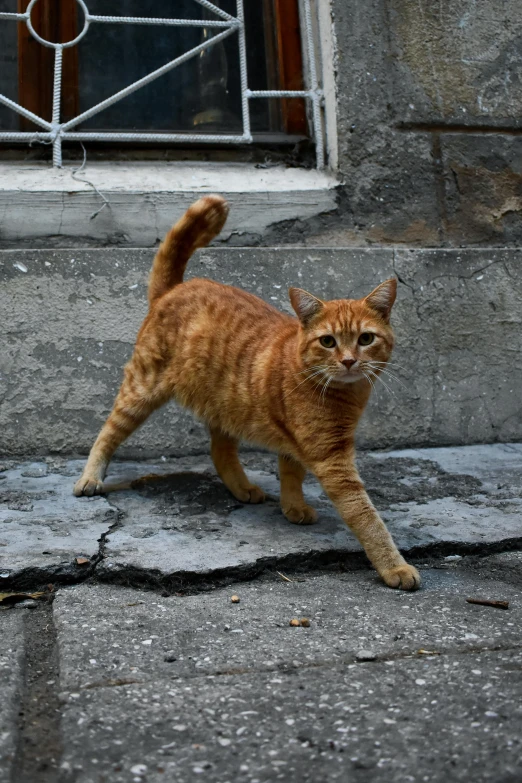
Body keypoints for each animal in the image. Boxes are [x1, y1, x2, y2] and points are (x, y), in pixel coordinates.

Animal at [75, 194, 418, 588]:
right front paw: (394, 566)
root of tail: (174, 288)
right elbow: (366, 517)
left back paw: (241, 487)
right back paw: (90, 478)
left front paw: (293, 506)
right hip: (141, 390)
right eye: (328, 342)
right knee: (108, 432)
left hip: (227, 405)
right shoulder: (332, 457)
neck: (343, 393)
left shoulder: (296, 440)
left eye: (365, 339)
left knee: (219, 450)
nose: (348, 361)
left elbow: (291, 472)